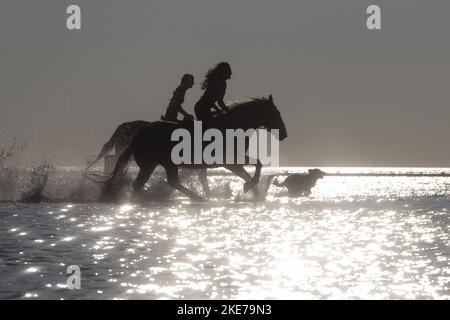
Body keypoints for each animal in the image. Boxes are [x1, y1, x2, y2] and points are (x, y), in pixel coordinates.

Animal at [104, 94, 288, 201]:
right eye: (275, 114)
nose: (284, 134)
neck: (233, 126)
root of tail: (139, 134)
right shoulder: (230, 162)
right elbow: (255, 167)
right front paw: (249, 188)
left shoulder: (233, 161)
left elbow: (251, 170)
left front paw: (255, 193)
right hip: (157, 164)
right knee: (158, 183)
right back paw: (196, 198)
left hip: (156, 164)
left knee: (156, 183)